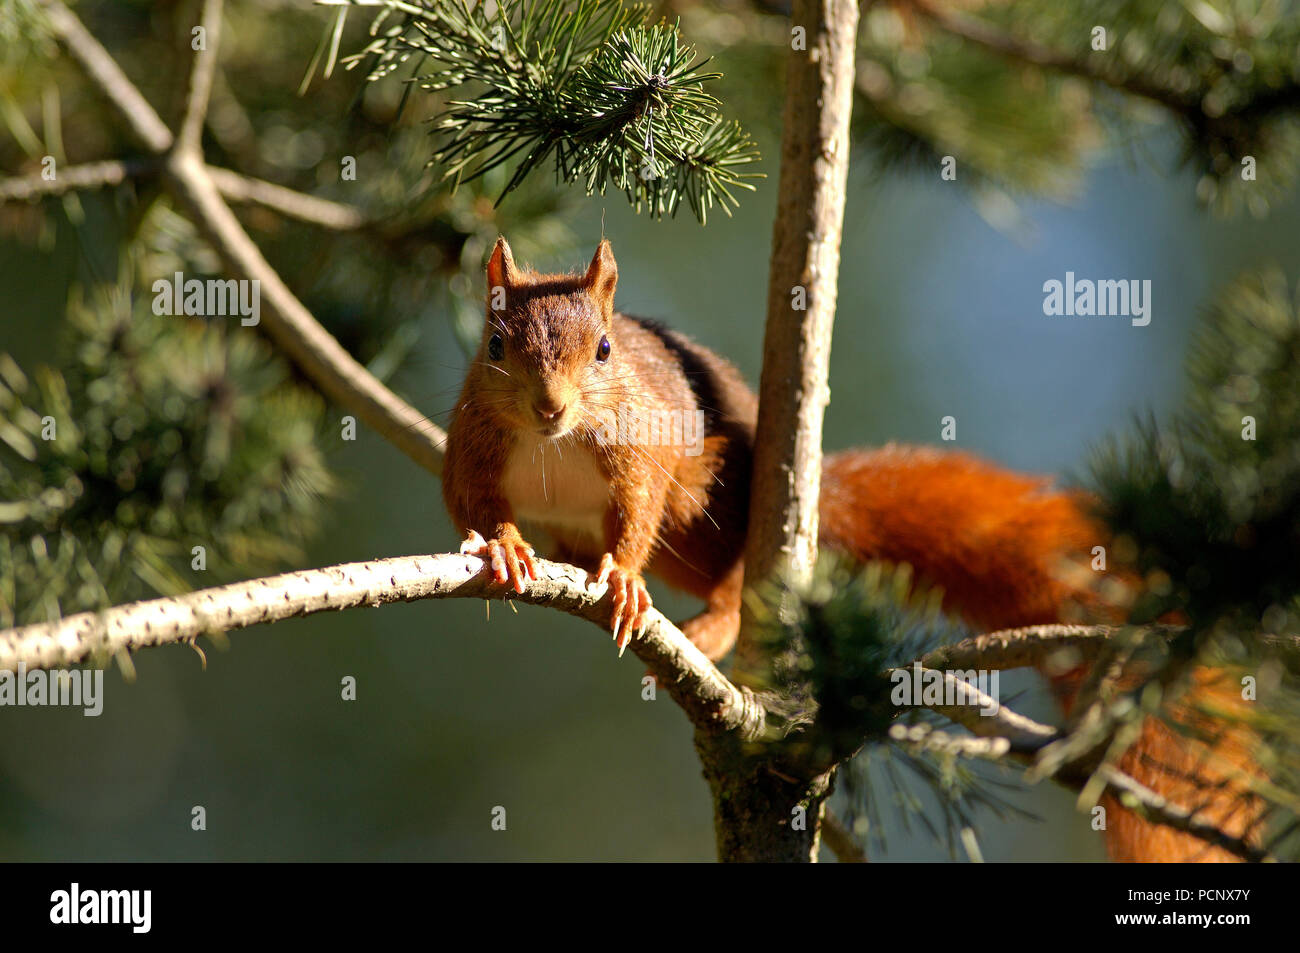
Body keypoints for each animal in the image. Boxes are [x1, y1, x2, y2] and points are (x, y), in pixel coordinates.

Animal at [443, 237, 1262, 862]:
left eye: (606, 350)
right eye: (495, 346)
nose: (550, 409)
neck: (556, 445)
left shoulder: (643, 451)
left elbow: (636, 513)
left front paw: (621, 577)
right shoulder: (471, 446)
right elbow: (469, 505)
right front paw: (506, 547)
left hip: (706, 512)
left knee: (728, 578)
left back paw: (704, 618)